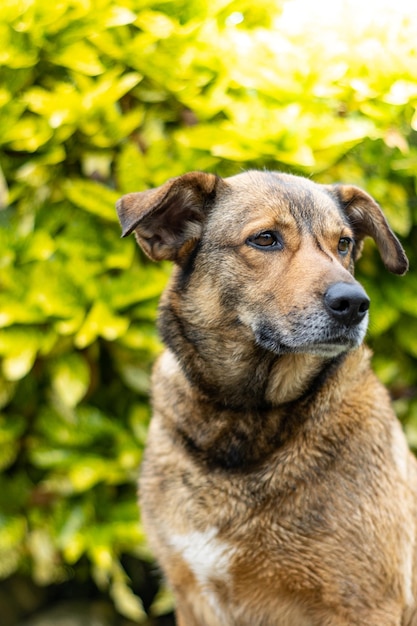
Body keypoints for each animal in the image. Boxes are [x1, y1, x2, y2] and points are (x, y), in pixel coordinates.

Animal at [116, 171, 416, 624]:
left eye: (343, 244)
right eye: (265, 239)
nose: (355, 303)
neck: (245, 415)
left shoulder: (366, 604)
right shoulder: (191, 595)